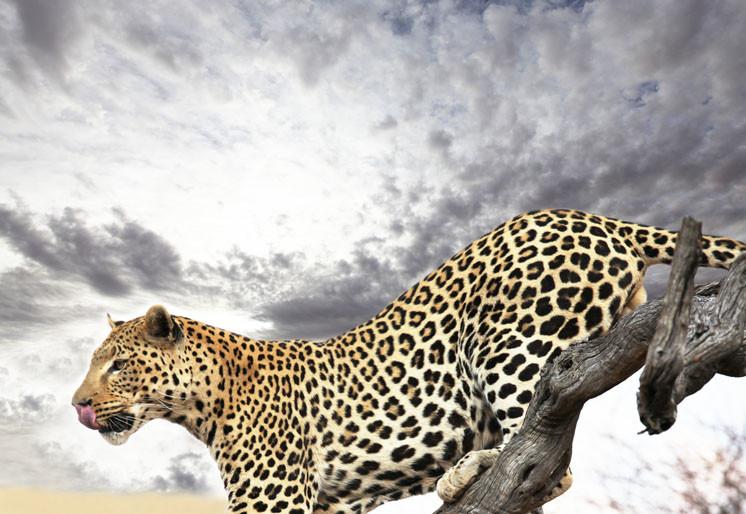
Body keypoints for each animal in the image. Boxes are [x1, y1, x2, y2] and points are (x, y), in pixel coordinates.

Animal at [72, 209, 746, 514]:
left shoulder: (273, 501)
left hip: (510, 343)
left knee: (547, 449)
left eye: (116, 366)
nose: (77, 405)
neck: (203, 403)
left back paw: (466, 471)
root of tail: (593, 216)